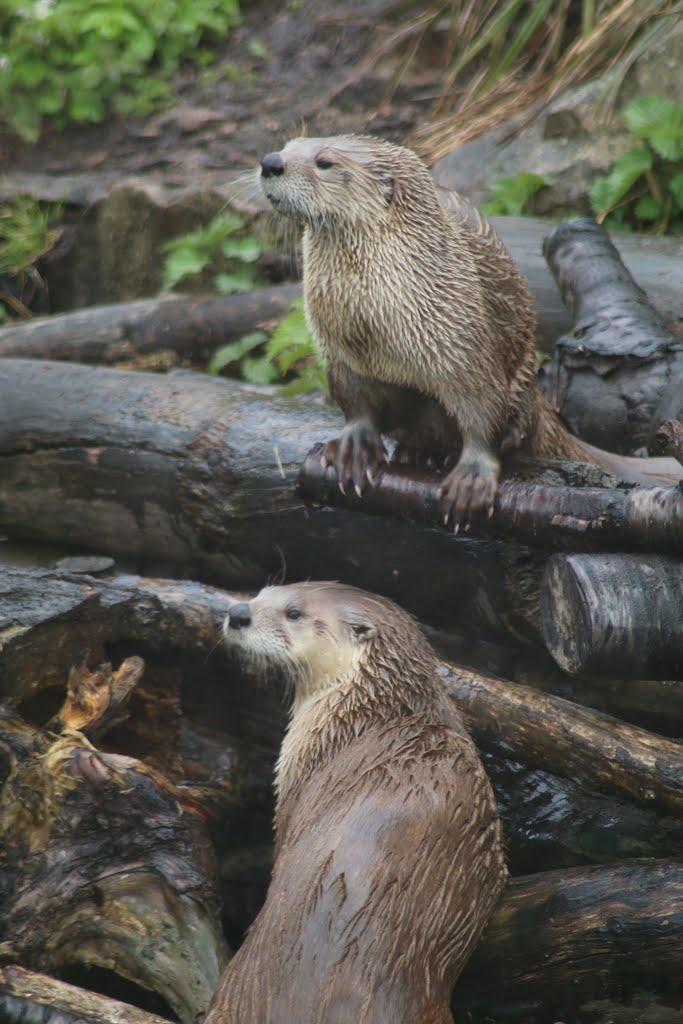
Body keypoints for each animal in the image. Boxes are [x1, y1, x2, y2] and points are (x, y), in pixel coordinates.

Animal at [258, 134, 683, 528]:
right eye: (290, 144)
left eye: (324, 162)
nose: (270, 161)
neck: (371, 324)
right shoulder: (340, 351)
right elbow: (354, 400)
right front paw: (354, 447)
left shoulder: (460, 337)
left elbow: (481, 404)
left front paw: (473, 477)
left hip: (523, 381)